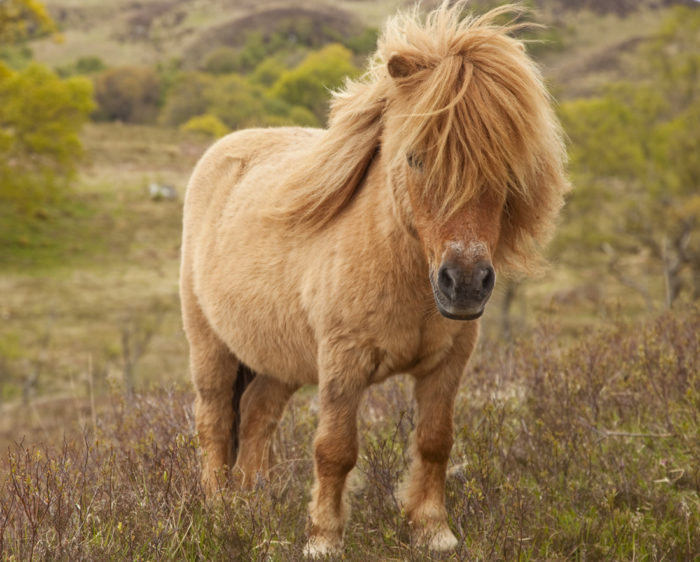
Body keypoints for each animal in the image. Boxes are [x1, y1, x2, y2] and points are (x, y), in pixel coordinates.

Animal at [179, 0, 568, 552]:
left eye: (505, 167)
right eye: (416, 158)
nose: (464, 283)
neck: (402, 273)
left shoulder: (447, 365)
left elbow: (435, 442)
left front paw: (433, 532)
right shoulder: (343, 367)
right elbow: (335, 450)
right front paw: (323, 540)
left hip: (279, 360)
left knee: (256, 417)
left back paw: (250, 509)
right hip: (210, 346)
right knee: (214, 421)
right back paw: (218, 514)